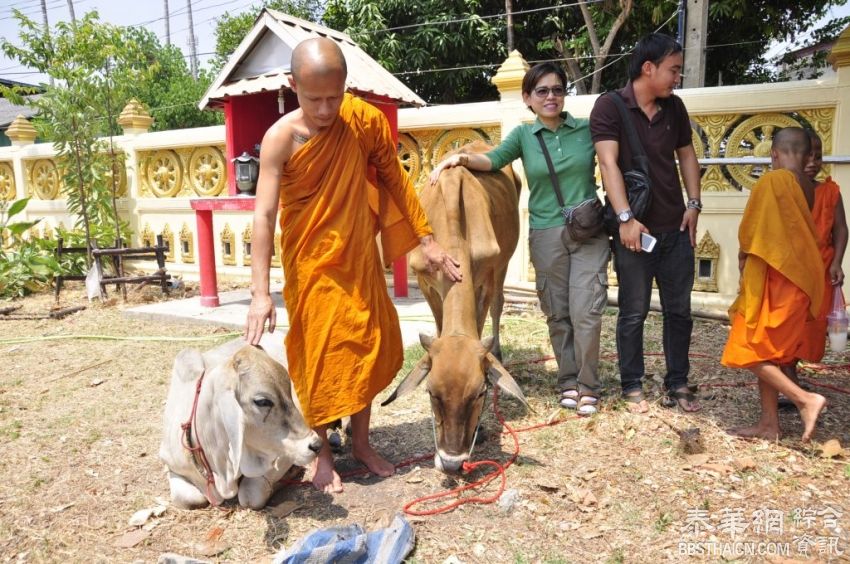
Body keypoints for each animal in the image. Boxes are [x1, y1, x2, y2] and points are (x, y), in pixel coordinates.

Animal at [159, 338, 322, 508]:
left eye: (289, 390)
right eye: (262, 401)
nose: (316, 445)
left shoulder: (282, 457)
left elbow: (250, 495)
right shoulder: (170, 463)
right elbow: (188, 498)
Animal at [382, 141, 524, 472]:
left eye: (480, 392)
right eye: (431, 392)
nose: (450, 461)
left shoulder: (485, 276)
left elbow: (482, 320)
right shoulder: (425, 282)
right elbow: (438, 325)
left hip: (504, 264)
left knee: (499, 305)